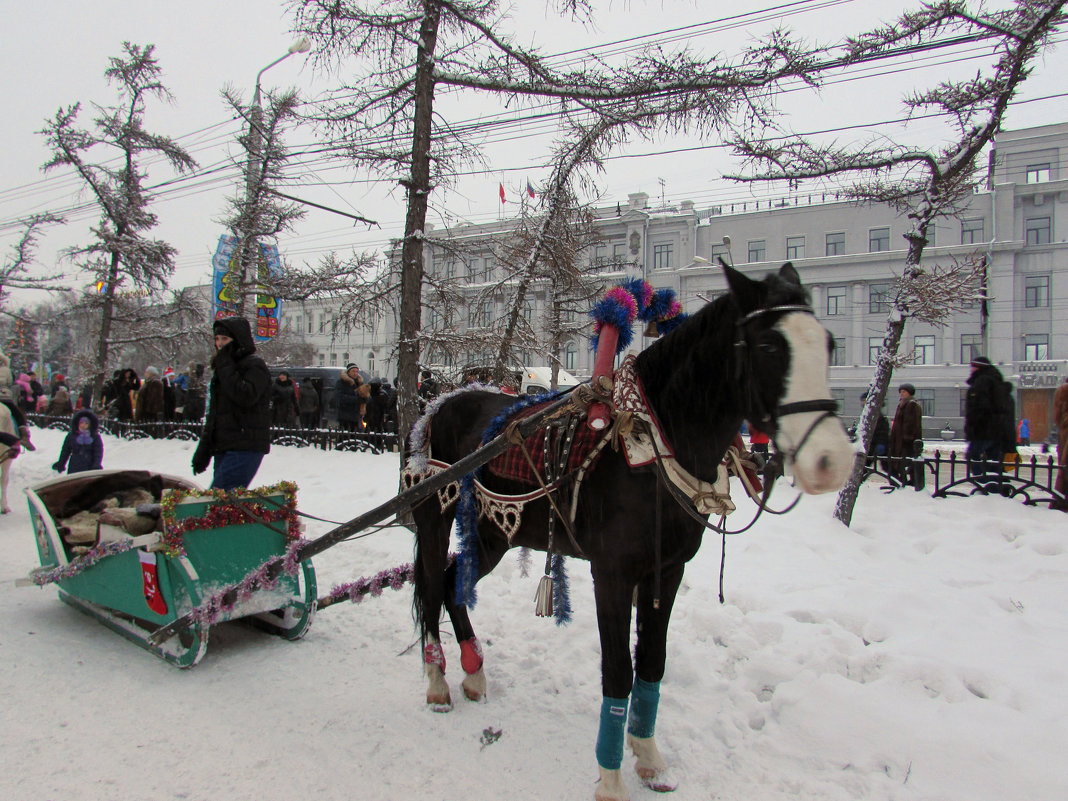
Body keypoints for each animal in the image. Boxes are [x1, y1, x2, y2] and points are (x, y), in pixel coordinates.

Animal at [405, 260, 850, 798]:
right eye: (769, 346)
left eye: (828, 343)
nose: (832, 460)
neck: (652, 450)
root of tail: (439, 404)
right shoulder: (612, 575)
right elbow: (618, 670)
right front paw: (612, 776)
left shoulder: (667, 572)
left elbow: (652, 663)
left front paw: (649, 756)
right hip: (435, 517)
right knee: (432, 587)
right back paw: (437, 682)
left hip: (496, 534)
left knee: (453, 583)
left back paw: (473, 674)